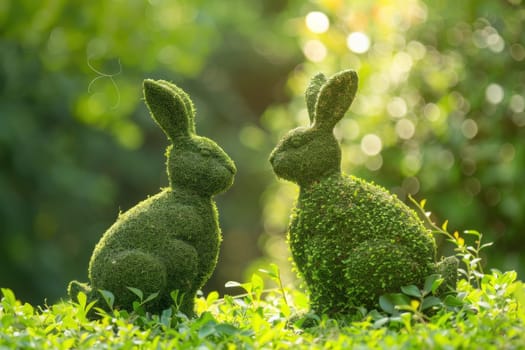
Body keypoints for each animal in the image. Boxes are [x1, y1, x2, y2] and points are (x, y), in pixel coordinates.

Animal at [69, 80, 235, 316]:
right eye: (204, 153)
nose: (232, 170)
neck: (189, 194)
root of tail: (95, 294)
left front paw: (192, 317)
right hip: (144, 269)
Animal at [268, 69, 456, 316]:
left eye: (297, 142)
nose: (271, 159)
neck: (322, 180)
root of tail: (428, 273)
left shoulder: (322, 253)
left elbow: (324, 290)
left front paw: (311, 317)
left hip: (368, 260)